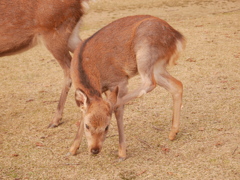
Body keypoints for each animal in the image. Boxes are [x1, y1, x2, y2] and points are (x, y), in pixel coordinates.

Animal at [69, 14, 186, 160]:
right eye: (87, 126)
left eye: (107, 127)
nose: (95, 150)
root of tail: (177, 36)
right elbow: (83, 111)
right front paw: (73, 149)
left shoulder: (119, 80)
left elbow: (118, 111)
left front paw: (122, 152)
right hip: (158, 66)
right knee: (177, 85)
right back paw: (172, 133)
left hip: (145, 54)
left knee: (149, 83)